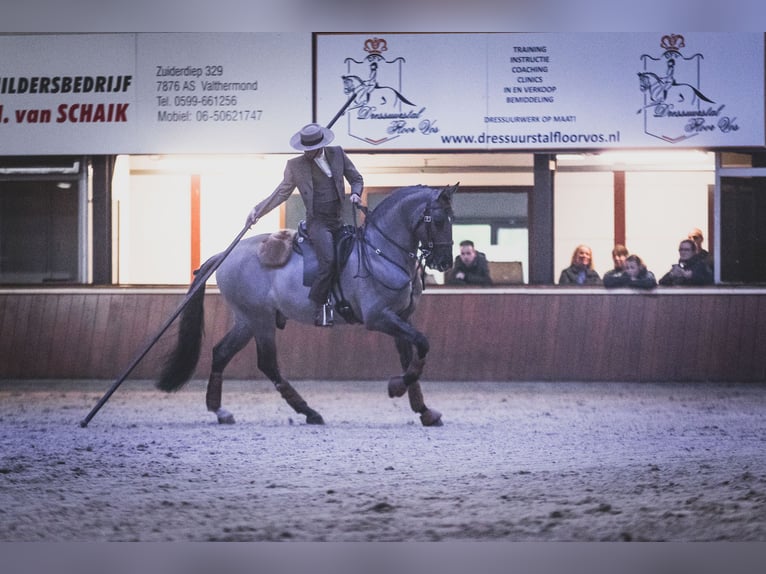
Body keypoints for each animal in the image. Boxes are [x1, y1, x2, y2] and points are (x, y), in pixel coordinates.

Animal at [156, 184, 456, 428]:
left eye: (452, 218)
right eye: (439, 220)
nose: (444, 262)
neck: (381, 252)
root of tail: (223, 255)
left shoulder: (401, 317)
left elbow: (412, 357)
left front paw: (425, 412)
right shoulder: (379, 318)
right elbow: (423, 344)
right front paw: (395, 387)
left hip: (247, 321)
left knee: (221, 353)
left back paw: (221, 411)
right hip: (260, 320)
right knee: (267, 364)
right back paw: (309, 412)